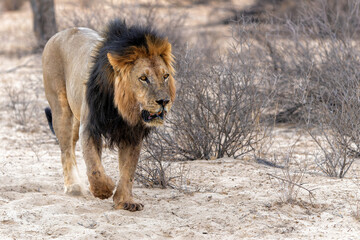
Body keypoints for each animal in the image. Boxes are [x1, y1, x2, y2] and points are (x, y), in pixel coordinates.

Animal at [41, 20, 176, 212]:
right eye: (143, 78)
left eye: (165, 76)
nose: (164, 101)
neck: (121, 109)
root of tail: (60, 33)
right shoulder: (90, 127)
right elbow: (94, 166)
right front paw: (103, 190)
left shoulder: (132, 134)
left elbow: (128, 171)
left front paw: (125, 201)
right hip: (61, 110)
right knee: (66, 149)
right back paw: (74, 187)